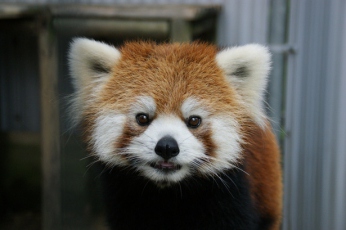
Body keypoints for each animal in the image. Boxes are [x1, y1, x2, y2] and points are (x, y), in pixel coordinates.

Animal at [69, 38, 282, 230]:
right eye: (142, 118)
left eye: (194, 120)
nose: (167, 147)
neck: (170, 193)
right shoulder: (125, 200)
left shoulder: (232, 196)